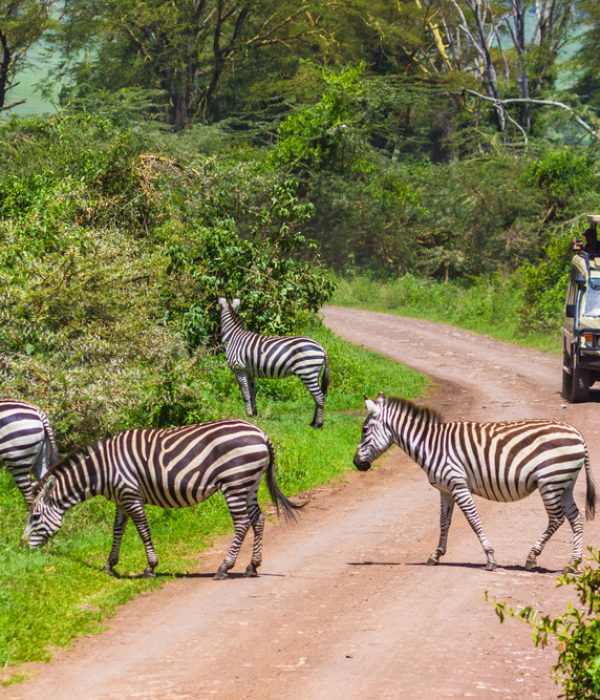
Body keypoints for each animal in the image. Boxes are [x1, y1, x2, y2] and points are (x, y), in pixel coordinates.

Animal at [23, 419, 300, 579]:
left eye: (35, 516)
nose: (24, 547)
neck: (103, 470)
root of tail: (261, 434)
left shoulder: (131, 495)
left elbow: (143, 529)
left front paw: (150, 567)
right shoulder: (121, 499)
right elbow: (117, 530)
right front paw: (110, 565)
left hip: (235, 481)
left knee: (242, 523)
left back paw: (224, 568)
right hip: (248, 483)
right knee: (259, 519)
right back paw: (252, 566)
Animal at [218, 298, 329, 428]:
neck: (233, 336)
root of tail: (321, 348)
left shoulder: (239, 369)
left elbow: (245, 393)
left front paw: (248, 414)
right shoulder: (249, 371)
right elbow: (252, 392)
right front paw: (254, 414)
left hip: (308, 373)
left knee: (320, 397)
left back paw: (318, 424)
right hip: (313, 374)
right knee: (318, 397)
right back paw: (313, 422)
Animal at [353, 393, 596, 571]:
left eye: (364, 430)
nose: (356, 463)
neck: (430, 445)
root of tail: (578, 435)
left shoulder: (458, 485)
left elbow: (473, 520)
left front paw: (490, 558)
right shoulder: (445, 490)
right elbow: (444, 522)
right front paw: (436, 555)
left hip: (550, 481)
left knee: (557, 518)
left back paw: (531, 557)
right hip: (565, 483)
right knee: (575, 517)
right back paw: (573, 562)